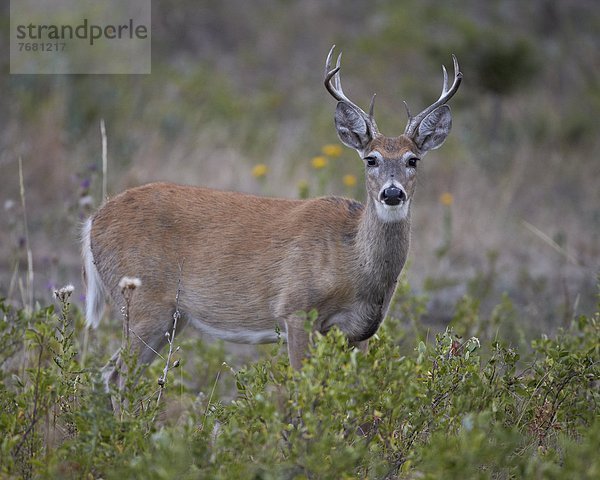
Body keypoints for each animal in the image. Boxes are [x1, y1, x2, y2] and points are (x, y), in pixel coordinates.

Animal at [82, 45, 462, 392]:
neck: (351, 261)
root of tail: (92, 221)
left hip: (171, 318)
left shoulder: (359, 330)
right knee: (118, 375)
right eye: (371, 159)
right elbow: (303, 392)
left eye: (413, 160)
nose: (392, 193)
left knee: (113, 373)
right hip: (143, 302)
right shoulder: (295, 308)